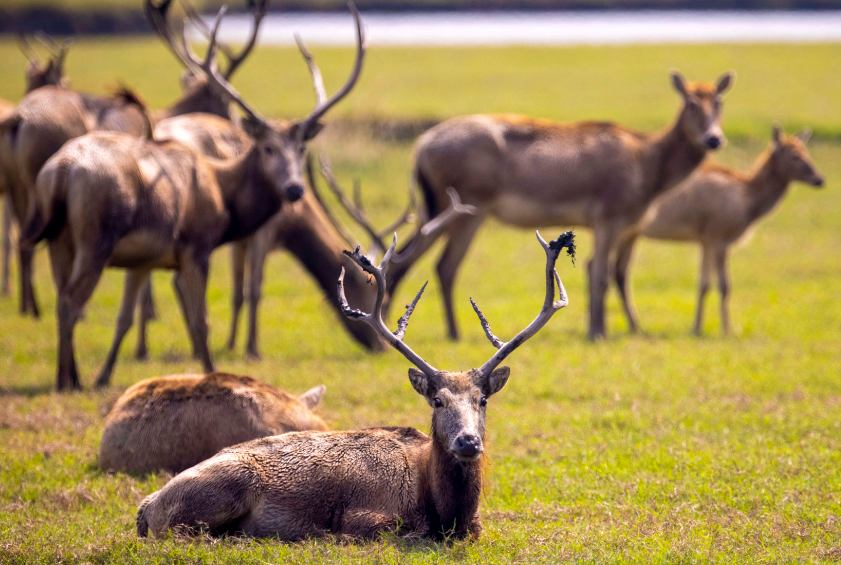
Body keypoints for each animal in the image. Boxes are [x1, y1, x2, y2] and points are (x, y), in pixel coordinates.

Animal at [27, 3, 364, 392]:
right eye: (267, 147)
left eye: (302, 148)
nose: (294, 189)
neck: (224, 196)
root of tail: (62, 170)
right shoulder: (196, 247)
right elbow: (202, 320)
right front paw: (213, 372)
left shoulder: (143, 260)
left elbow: (125, 316)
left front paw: (104, 376)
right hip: (96, 239)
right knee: (70, 301)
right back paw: (67, 380)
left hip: (59, 239)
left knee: (61, 298)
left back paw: (71, 375)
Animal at [135, 230, 576, 540]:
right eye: (436, 401)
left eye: (482, 399)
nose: (467, 442)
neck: (442, 508)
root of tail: (146, 505)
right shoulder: (367, 513)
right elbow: (393, 529)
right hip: (225, 488)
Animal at [388, 69, 736, 340]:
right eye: (691, 103)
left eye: (719, 102)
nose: (714, 139)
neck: (649, 164)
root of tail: (422, 145)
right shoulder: (609, 217)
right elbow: (600, 272)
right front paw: (597, 333)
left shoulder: (611, 224)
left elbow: (599, 270)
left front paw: (600, 328)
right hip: (469, 210)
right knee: (444, 265)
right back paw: (451, 333)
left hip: (436, 209)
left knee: (406, 259)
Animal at [612, 124, 824, 334]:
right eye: (794, 155)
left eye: (806, 152)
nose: (819, 179)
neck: (748, 200)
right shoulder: (719, 237)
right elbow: (724, 285)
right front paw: (727, 329)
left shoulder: (706, 240)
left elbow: (704, 284)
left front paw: (697, 327)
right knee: (619, 273)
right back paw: (635, 326)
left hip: (631, 234)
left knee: (620, 273)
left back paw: (635, 326)